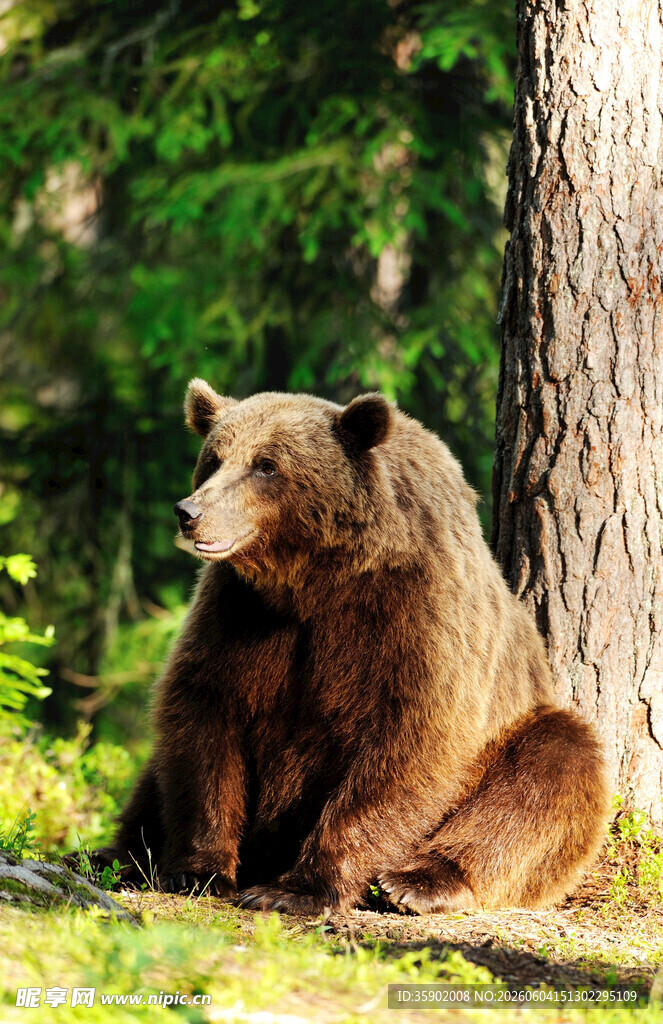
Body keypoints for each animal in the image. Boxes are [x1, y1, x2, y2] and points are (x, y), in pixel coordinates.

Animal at [110, 379, 610, 914]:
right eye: (213, 458)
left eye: (266, 465)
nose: (190, 512)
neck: (316, 578)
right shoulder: (242, 616)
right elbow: (203, 715)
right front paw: (199, 870)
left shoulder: (414, 617)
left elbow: (410, 743)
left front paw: (294, 889)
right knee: (150, 783)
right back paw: (117, 855)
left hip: (520, 730)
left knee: (551, 769)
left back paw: (418, 881)